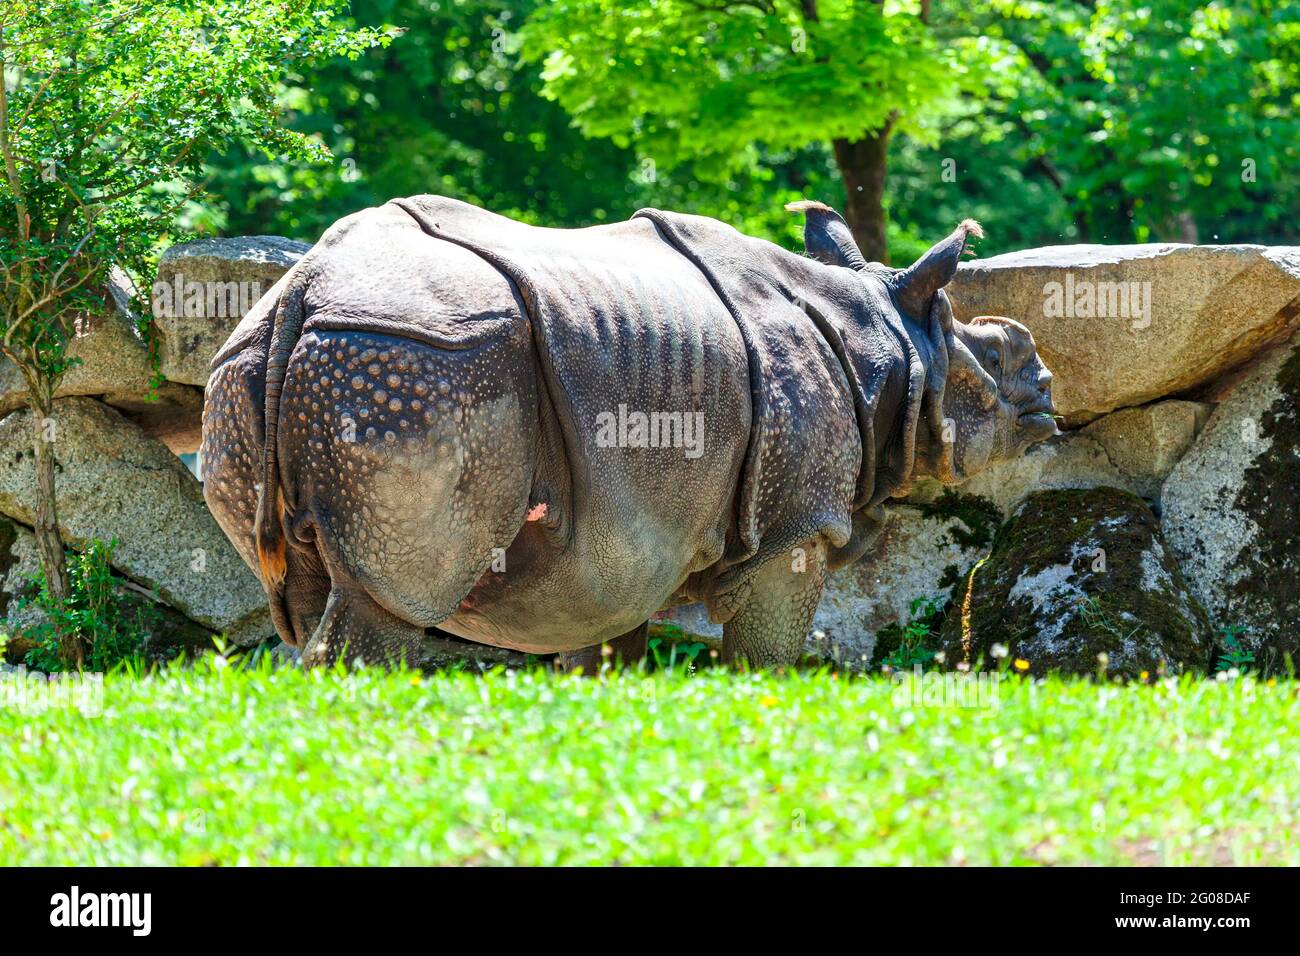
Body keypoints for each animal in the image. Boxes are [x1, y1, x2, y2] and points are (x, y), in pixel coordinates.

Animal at [201, 196, 1056, 669]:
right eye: (998, 356)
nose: (1048, 391)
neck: (889, 341)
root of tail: (305, 288)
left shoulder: (632, 533)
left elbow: (608, 646)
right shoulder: (796, 523)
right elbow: (768, 653)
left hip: (252, 367)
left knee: (307, 602)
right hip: (417, 358)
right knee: (390, 601)